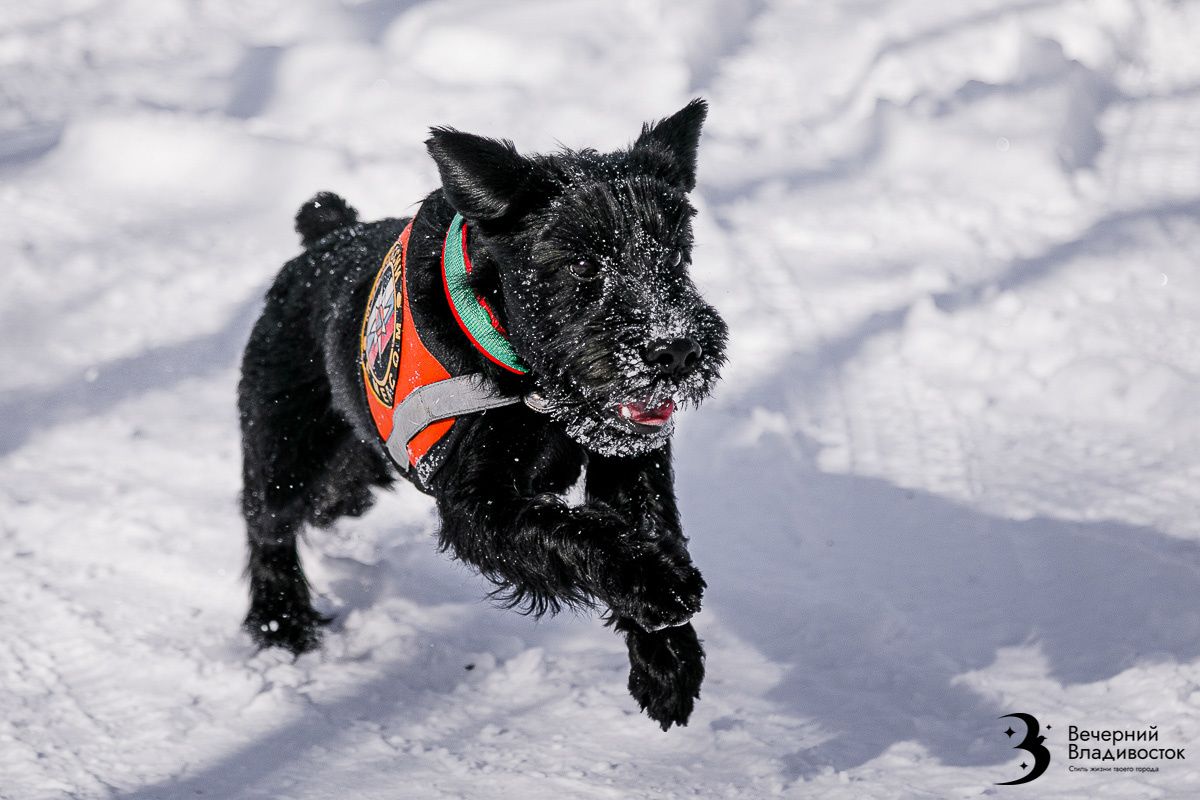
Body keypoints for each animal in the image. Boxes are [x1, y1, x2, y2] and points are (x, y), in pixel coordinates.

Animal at [234, 97, 720, 729]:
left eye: (677, 253)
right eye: (582, 266)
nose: (677, 349)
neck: (528, 378)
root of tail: (325, 241)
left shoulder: (629, 455)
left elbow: (647, 521)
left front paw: (667, 662)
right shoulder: (477, 505)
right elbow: (572, 532)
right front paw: (660, 586)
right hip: (286, 447)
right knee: (267, 524)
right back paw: (283, 624)